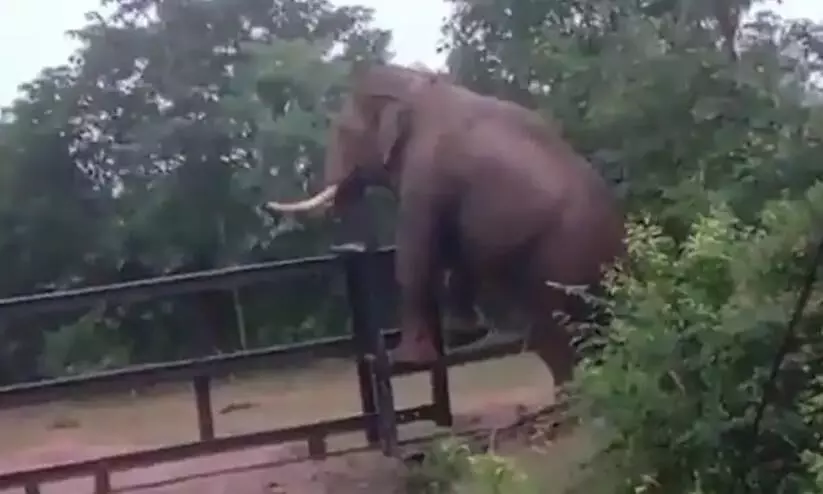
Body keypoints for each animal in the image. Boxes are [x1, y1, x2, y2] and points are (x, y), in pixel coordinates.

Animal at [268, 62, 628, 386]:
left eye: (343, 132)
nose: (270, 208)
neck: (415, 86)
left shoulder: (424, 172)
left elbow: (415, 252)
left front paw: (405, 359)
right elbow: (455, 249)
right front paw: (465, 334)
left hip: (563, 255)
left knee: (556, 332)